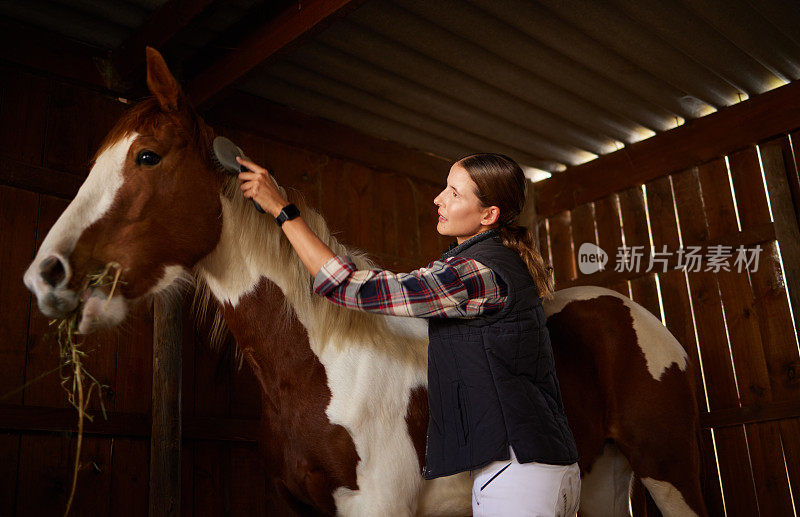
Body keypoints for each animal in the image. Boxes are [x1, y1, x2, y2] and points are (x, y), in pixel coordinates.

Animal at [23, 46, 708, 512]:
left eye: (147, 157)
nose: (46, 275)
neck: (325, 364)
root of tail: (630, 312)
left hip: (671, 473)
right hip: (598, 480)